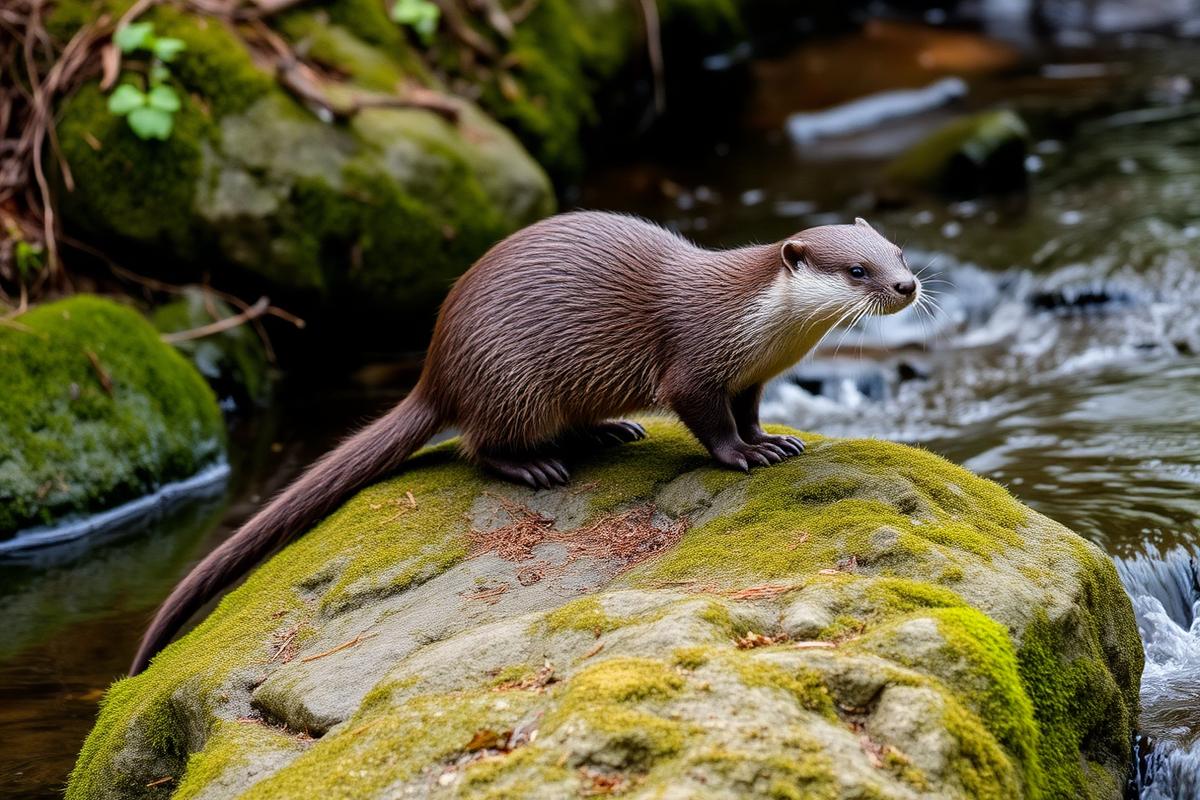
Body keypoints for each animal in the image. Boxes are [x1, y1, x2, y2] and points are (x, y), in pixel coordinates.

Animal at [130, 211, 919, 675]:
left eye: (897, 251)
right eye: (857, 269)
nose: (908, 285)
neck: (755, 326)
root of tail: (437, 365)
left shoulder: (750, 375)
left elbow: (749, 414)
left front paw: (773, 441)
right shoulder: (696, 364)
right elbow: (710, 423)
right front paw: (742, 456)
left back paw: (612, 429)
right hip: (512, 380)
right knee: (478, 445)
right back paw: (538, 466)